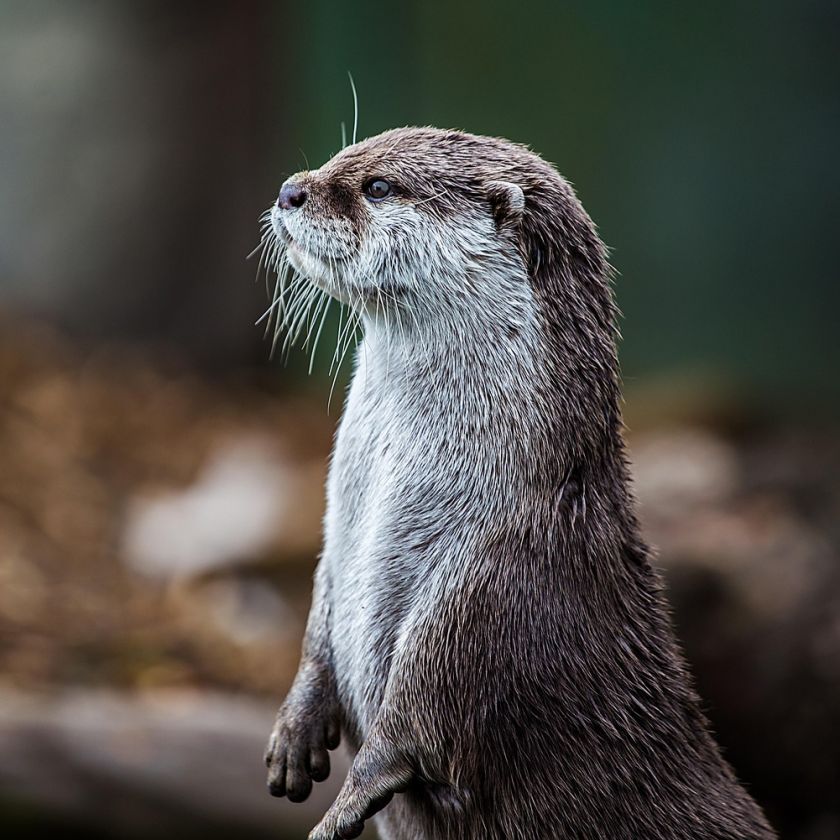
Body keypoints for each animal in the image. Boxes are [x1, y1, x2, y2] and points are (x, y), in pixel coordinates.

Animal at [261, 127, 775, 840]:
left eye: (379, 186)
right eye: (345, 155)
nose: (290, 189)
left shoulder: (486, 578)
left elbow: (414, 719)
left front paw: (344, 805)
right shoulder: (337, 536)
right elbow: (320, 616)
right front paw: (294, 731)